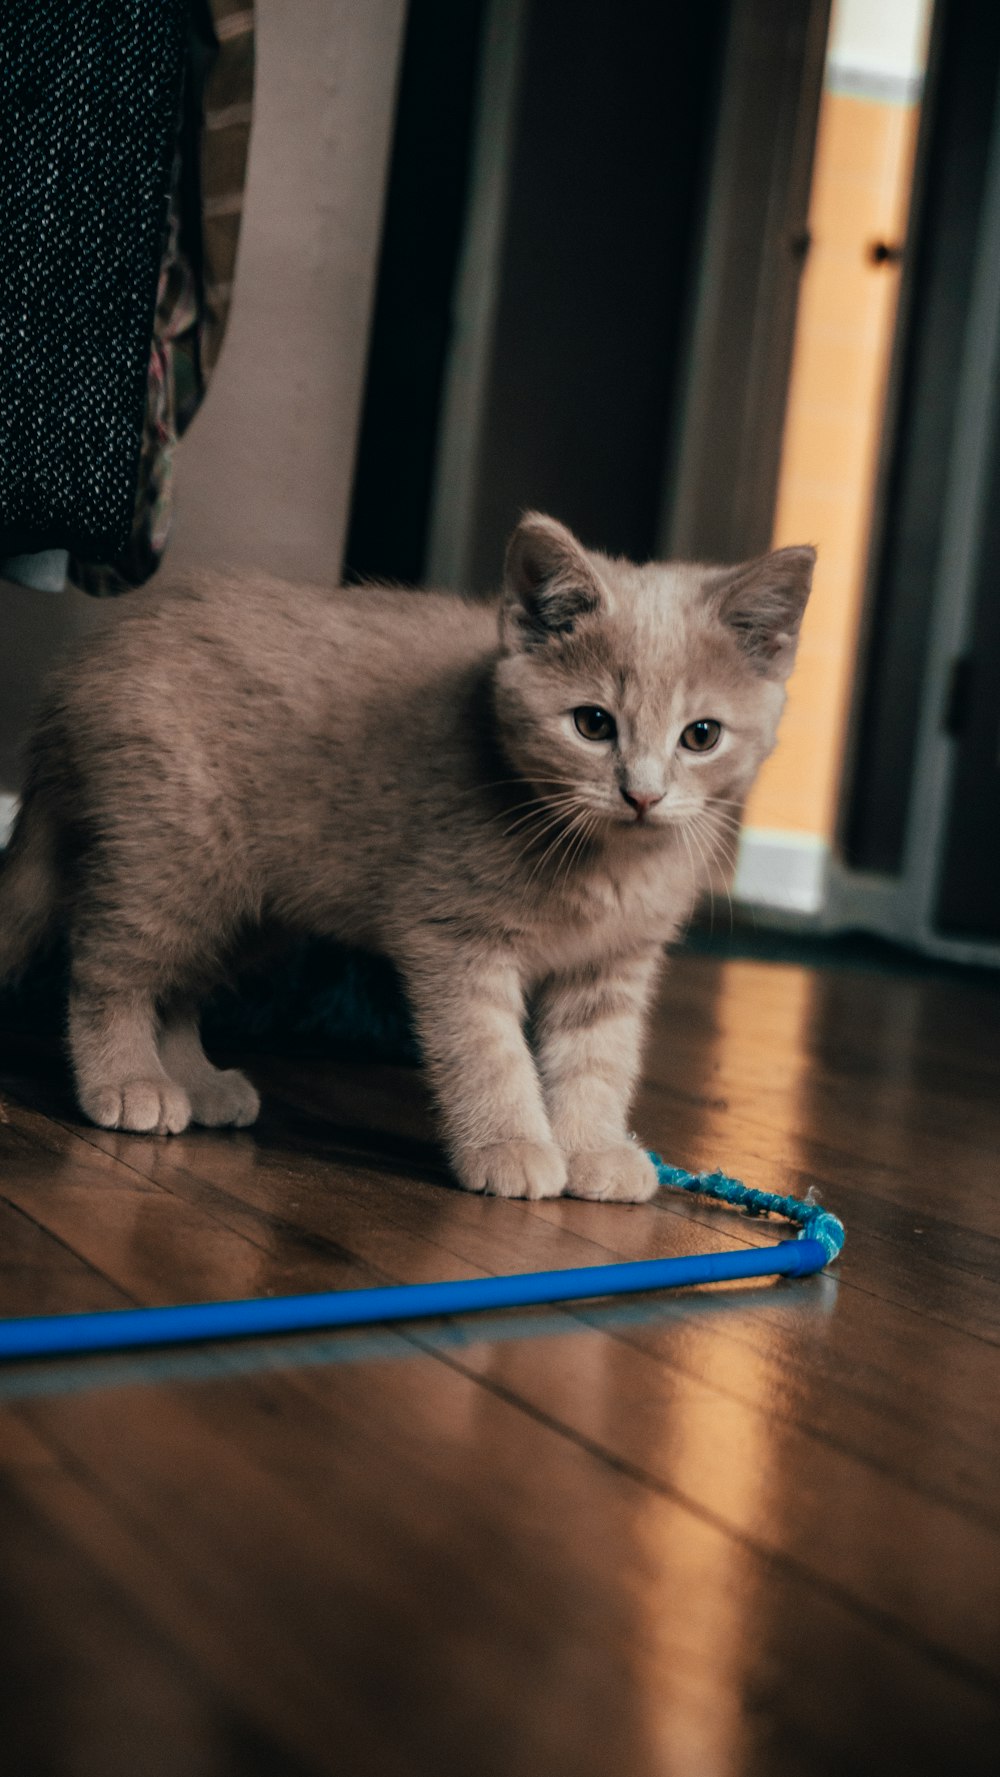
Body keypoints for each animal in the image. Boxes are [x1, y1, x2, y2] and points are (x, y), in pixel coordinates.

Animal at [0, 515, 813, 1208]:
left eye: (701, 735)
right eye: (592, 724)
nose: (642, 794)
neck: (607, 863)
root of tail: (81, 668)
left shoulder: (611, 967)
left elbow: (597, 1060)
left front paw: (592, 1148)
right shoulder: (456, 937)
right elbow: (488, 1053)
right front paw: (511, 1145)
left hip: (248, 909)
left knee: (176, 986)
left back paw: (198, 1081)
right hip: (172, 861)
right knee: (107, 968)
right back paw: (127, 1078)